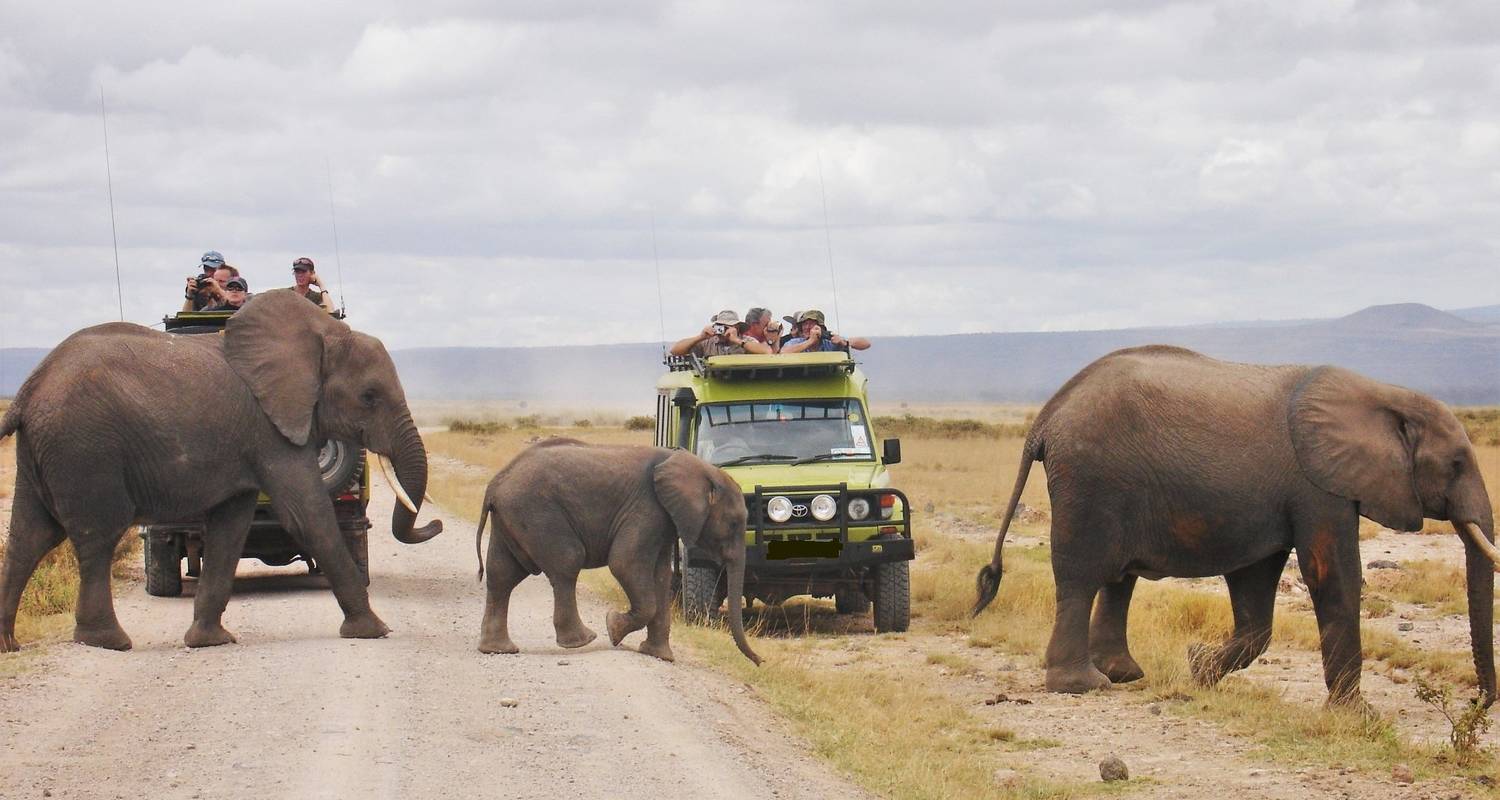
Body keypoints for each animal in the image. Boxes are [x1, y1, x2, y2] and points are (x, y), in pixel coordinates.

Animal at [0, 289, 441, 651]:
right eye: (369, 396)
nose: (435, 525)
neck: (322, 334)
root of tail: (28, 389)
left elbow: (231, 527)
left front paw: (209, 641)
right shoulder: (270, 429)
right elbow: (309, 514)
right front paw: (374, 631)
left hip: (49, 451)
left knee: (29, 536)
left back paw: (9, 645)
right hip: (86, 450)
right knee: (96, 536)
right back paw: (107, 641)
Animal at [474, 441, 762, 663]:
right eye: (734, 523)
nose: (760, 661)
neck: (700, 467)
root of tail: (494, 485)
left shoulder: (664, 520)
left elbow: (660, 576)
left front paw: (660, 656)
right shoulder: (647, 508)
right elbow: (624, 563)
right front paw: (613, 628)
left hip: (511, 518)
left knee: (502, 575)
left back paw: (498, 649)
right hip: (537, 513)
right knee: (567, 562)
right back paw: (583, 640)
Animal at [966, 343, 1494, 705]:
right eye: (1456, 464)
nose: (1479, 702)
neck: (1384, 394)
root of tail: (1045, 418)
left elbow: (1255, 583)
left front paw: (1198, 667)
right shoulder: (1318, 484)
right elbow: (1334, 577)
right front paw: (1356, 716)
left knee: (1119, 579)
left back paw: (1124, 675)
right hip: (1090, 482)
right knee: (1082, 577)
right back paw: (1084, 686)